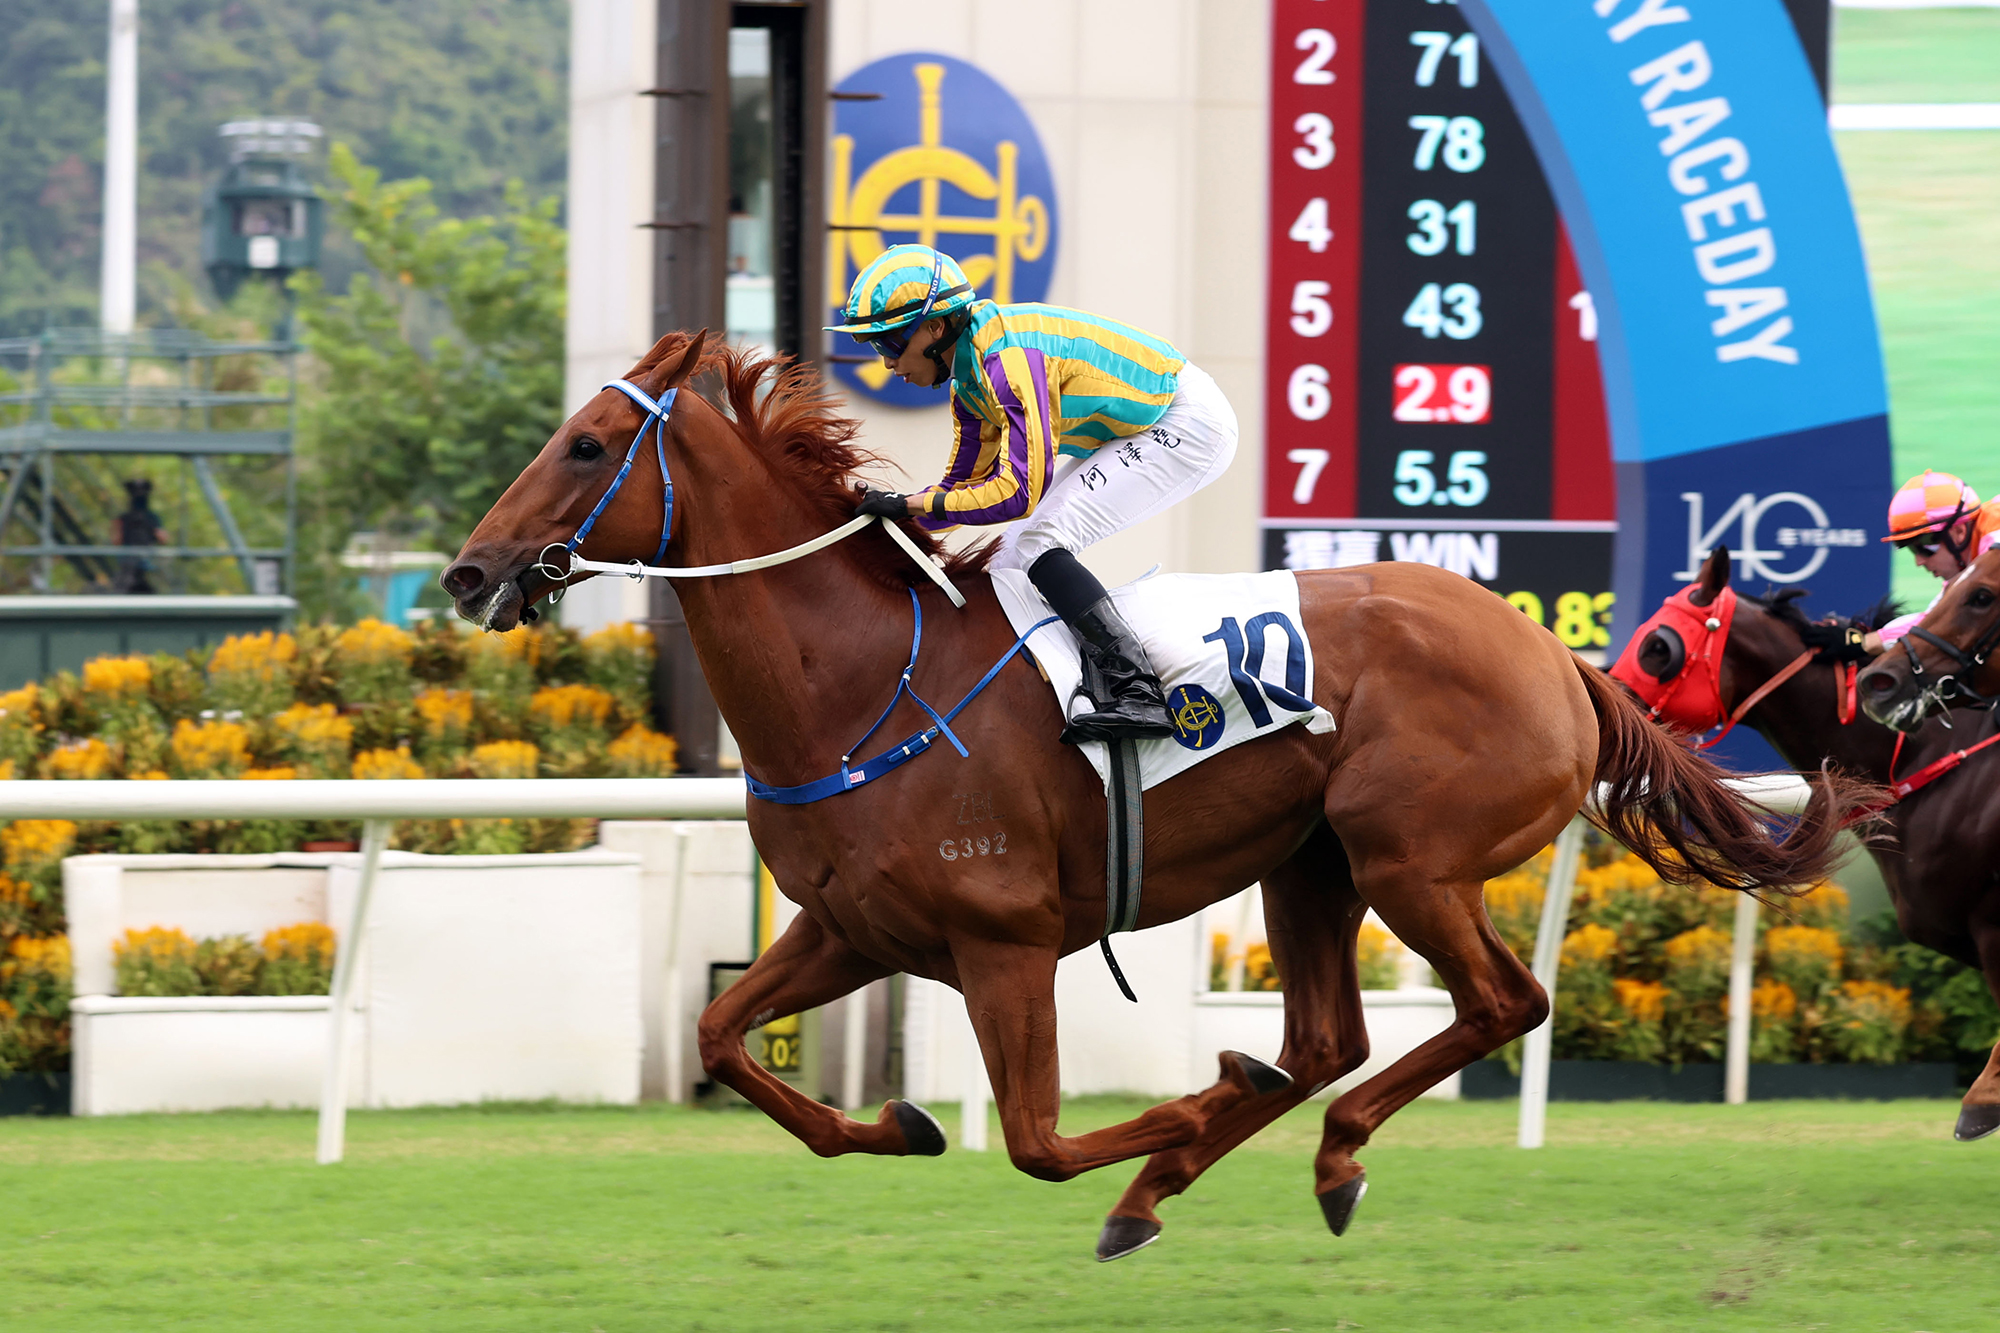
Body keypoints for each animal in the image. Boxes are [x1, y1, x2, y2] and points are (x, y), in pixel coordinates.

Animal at [442, 332, 1872, 1256]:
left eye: (585, 445)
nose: (468, 571)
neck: (862, 678)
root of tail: (1556, 654)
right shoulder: (854, 926)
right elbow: (720, 1037)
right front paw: (903, 1123)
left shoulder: (1003, 940)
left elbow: (1035, 1137)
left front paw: (1181, 1105)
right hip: (1310, 862)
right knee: (1328, 1040)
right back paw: (1201, 1175)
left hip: (1408, 859)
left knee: (1495, 1004)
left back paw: (1288, 1147)